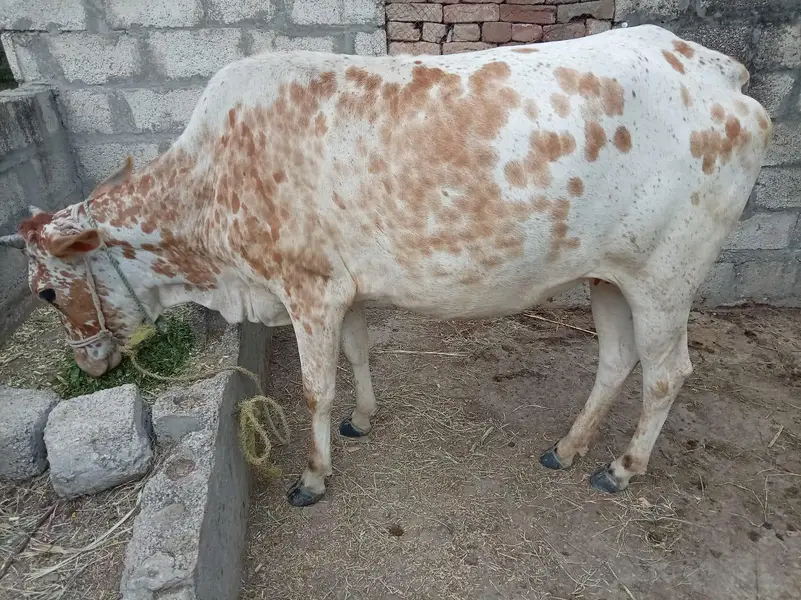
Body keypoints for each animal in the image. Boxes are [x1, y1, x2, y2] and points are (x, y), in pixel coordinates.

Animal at [0, 24, 772, 507]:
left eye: (45, 291)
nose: (88, 362)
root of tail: (714, 67)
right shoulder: (345, 290)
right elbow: (358, 353)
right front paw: (363, 419)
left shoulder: (307, 290)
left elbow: (316, 388)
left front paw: (313, 478)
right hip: (609, 274)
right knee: (614, 360)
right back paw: (569, 446)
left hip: (665, 280)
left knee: (666, 373)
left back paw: (621, 468)